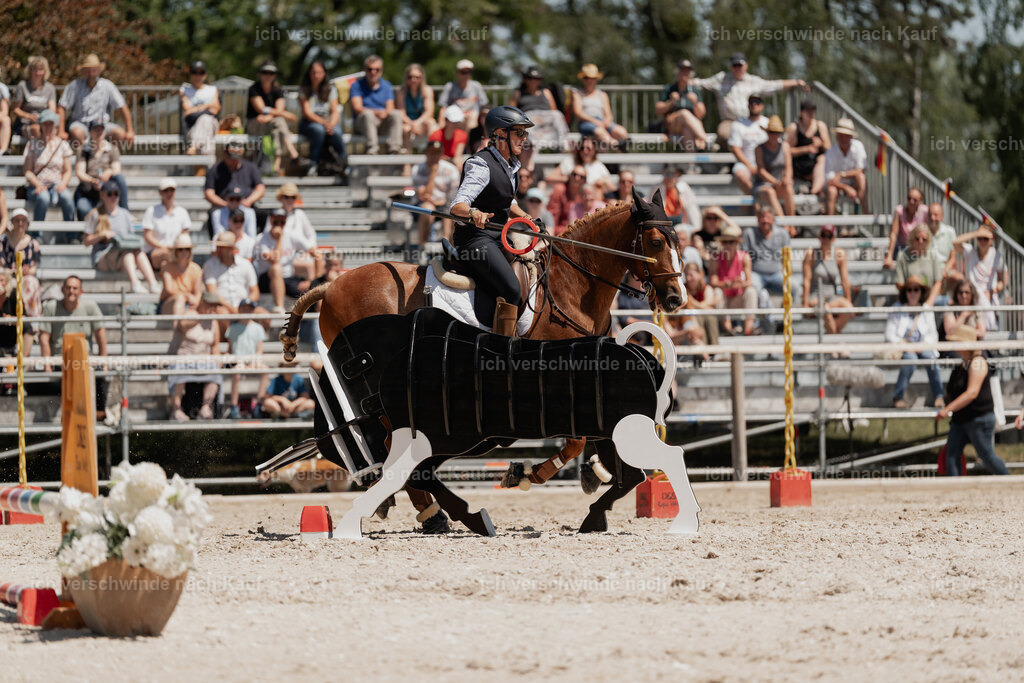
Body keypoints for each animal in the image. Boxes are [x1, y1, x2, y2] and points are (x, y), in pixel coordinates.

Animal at [278, 187, 686, 534]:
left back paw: (425, 512)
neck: (572, 285)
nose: (676, 297)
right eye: (655, 241)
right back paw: (432, 512)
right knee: (396, 446)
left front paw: (593, 473)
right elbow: (574, 441)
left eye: (678, 241)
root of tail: (332, 285)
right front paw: (529, 474)